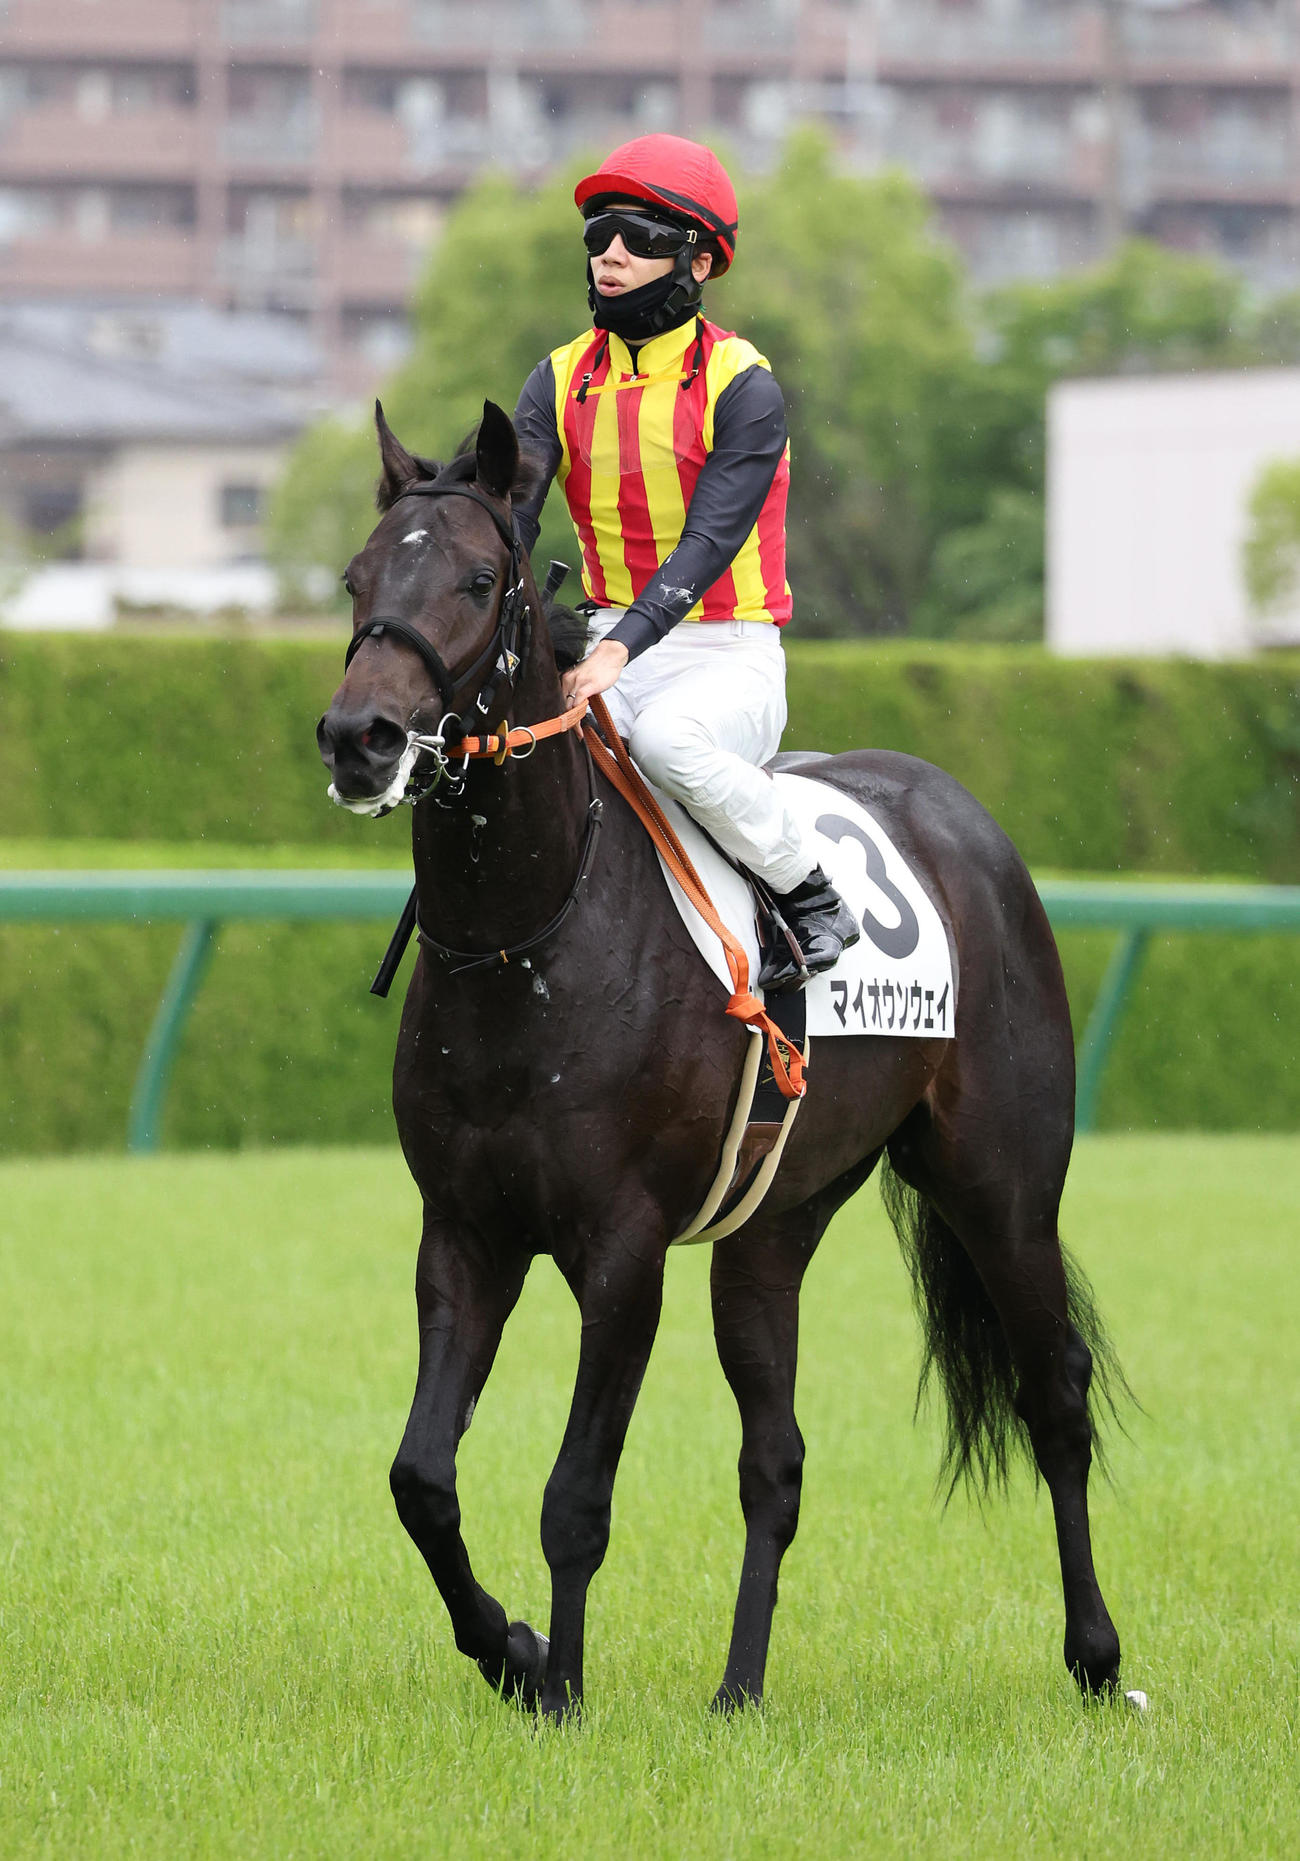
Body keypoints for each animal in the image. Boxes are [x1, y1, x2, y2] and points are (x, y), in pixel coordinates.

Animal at [315, 399, 1127, 1724]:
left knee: (1052, 1395)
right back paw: (739, 1686)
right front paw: (515, 1649)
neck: (528, 940)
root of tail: (959, 812)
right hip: (772, 1224)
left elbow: (574, 1495)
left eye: (481, 579)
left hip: (1001, 1185)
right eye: (356, 575)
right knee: (775, 1458)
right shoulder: (466, 1233)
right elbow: (420, 1477)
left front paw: (560, 1684)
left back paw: (1099, 1658)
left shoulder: (622, 1247)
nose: (360, 738)